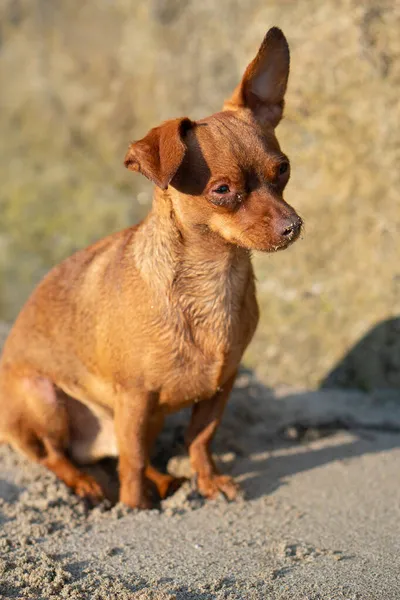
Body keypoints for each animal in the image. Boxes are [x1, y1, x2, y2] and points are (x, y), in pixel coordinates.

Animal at [0, 27, 300, 506]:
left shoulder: (222, 384)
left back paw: (162, 480)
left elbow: (199, 439)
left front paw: (208, 481)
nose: (293, 225)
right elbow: (134, 457)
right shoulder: (134, 398)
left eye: (283, 170)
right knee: (57, 456)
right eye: (222, 190)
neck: (214, 276)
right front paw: (134, 505)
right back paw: (87, 483)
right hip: (44, 398)